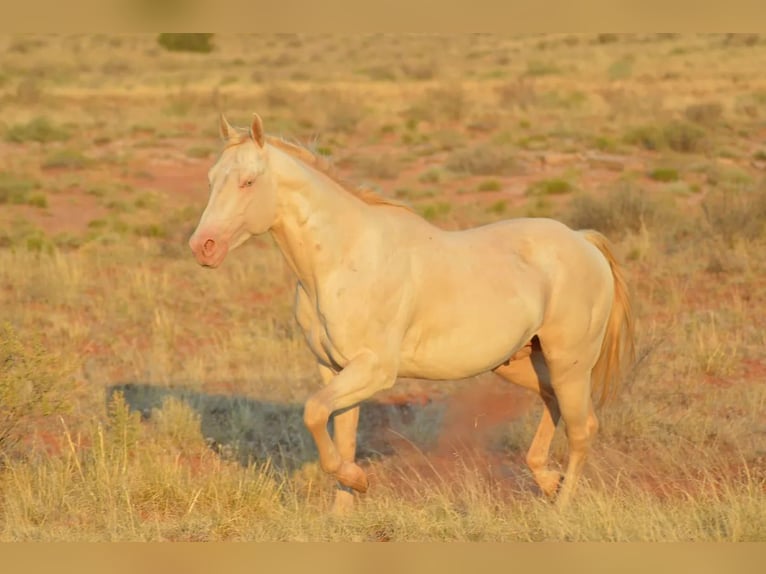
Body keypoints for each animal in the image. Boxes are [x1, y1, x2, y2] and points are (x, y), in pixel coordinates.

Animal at [190, 115, 636, 516]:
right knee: (554, 403)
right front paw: (341, 513)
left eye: (248, 181)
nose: (203, 247)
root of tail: (583, 241)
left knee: (582, 427)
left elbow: (314, 414)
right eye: (211, 179)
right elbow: (340, 434)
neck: (342, 259)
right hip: (525, 362)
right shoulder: (334, 369)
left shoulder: (374, 369)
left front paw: (359, 482)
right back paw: (547, 479)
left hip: (569, 363)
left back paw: (562, 506)